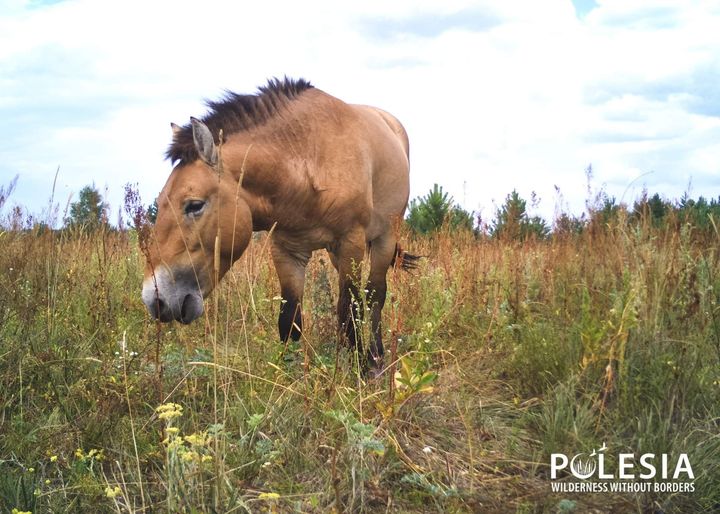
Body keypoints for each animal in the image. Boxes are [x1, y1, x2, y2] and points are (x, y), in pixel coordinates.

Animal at [141, 77, 416, 372]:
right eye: (161, 201)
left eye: (194, 205)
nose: (155, 299)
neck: (308, 158)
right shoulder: (287, 251)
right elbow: (290, 319)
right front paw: (286, 374)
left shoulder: (350, 242)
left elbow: (349, 312)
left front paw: (358, 368)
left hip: (383, 239)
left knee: (375, 295)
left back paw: (375, 354)